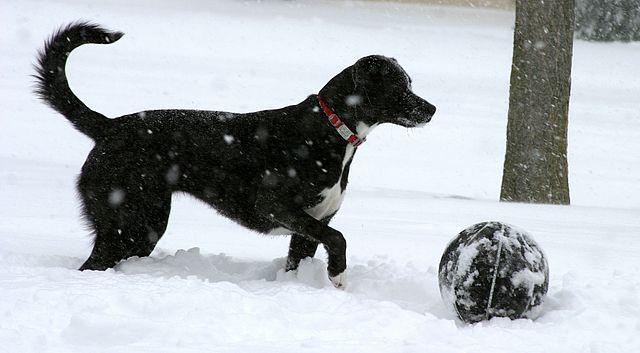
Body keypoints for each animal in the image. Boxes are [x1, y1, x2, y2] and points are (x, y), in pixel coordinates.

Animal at [35, 21, 436, 286]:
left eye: (410, 83)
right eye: (399, 86)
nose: (431, 109)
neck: (328, 129)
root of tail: (110, 126)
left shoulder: (310, 226)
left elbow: (302, 257)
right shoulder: (276, 206)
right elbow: (338, 238)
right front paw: (338, 276)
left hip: (145, 225)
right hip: (125, 219)